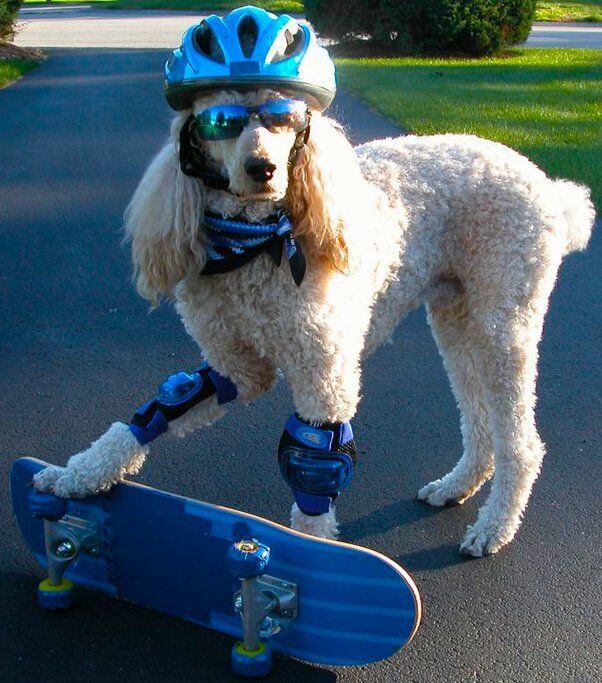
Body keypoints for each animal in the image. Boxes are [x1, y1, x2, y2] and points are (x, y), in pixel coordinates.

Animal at [34, 87, 596, 556]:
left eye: (284, 118)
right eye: (220, 121)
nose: (262, 168)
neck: (253, 244)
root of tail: (546, 184)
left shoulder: (323, 375)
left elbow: (316, 462)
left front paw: (314, 561)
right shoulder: (240, 368)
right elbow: (165, 408)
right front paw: (76, 474)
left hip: (505, 321)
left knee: (521, 441)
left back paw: (494, 527)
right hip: (456, 320)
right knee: (478, 419)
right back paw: (459, 485)